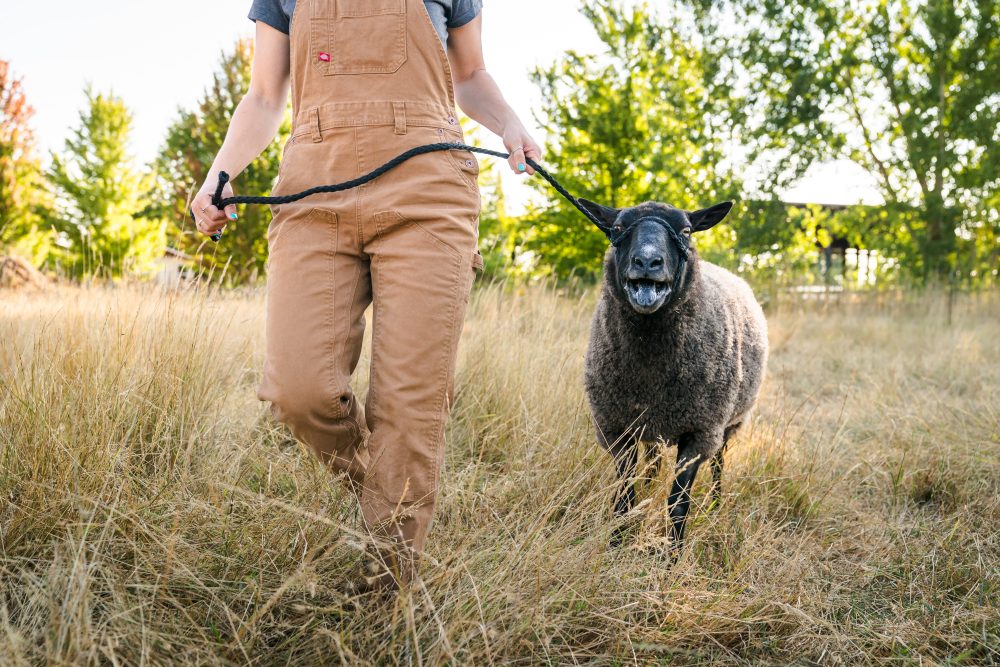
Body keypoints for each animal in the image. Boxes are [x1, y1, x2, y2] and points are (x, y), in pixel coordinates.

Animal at [579, 198, 769, 553]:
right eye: (617, 228)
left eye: (686, 231)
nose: (647, 262)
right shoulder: (616, 428)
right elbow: (624, 496)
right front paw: (617, 543)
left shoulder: (699, 431)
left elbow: (678, 503)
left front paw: (672, 555)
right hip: (649, 423)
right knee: (652, 461)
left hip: (728, 423)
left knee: (719, 464)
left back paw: (716, 503)